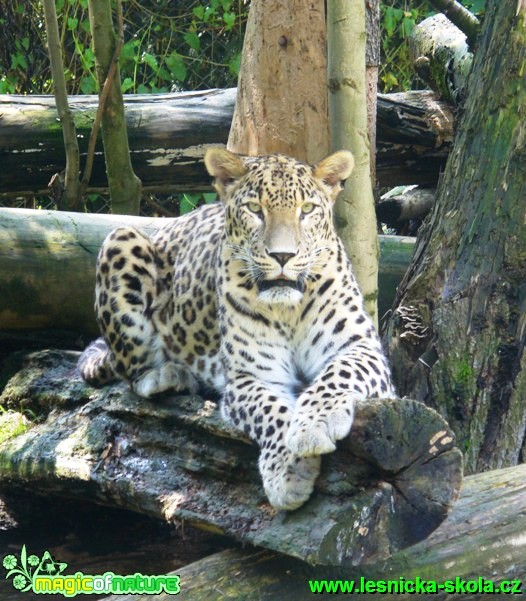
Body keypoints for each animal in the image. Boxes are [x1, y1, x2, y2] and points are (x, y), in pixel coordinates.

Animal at [79, 148, 396, 508]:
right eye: (255, 209)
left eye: (307, 210)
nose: (283, 255)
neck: (288, 309)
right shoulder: (249, 376)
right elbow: (269, 411)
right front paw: (289, 470)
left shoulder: (361, 347)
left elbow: (339, 373)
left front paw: (313, 423)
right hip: (120, 238)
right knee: (130, 370)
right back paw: (167, 375)